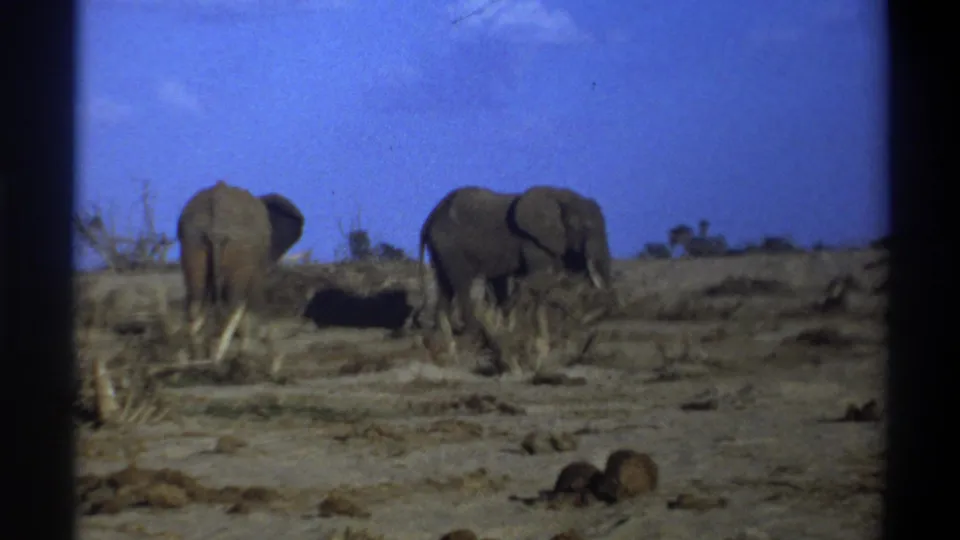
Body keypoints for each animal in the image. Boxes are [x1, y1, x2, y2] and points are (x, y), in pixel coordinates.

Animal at [177, 180, 305, 364]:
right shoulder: (256, 259)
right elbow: (256, 298)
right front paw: (273, 359)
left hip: (192, 243)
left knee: (195, 300)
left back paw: (197, 358)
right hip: (239, 248)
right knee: (233, 302)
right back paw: (220, 356)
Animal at [415, 185, 614, 338]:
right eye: (585, 227)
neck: (558, 195)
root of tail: (429, 220)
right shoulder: (531, 240)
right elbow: (541, 274)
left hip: (441, 247)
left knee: (445, 285)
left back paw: (443, 333)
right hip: (450, 245)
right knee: (461, 283)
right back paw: (473, 331)